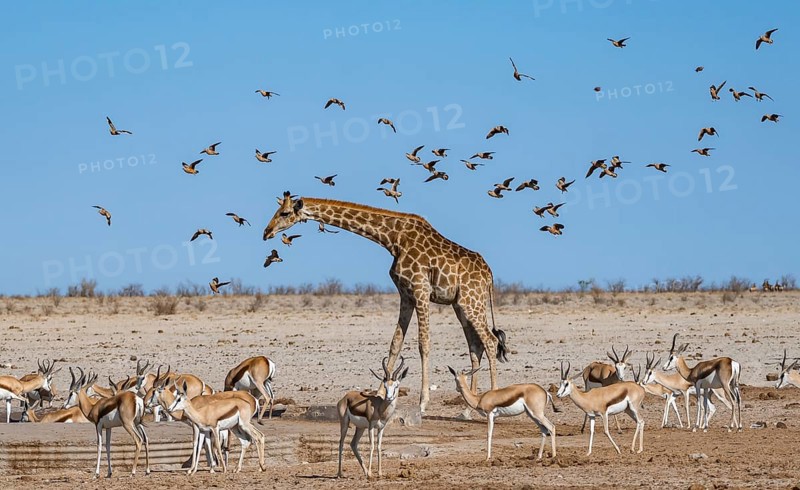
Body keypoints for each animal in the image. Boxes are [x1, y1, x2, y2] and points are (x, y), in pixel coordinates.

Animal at [263, 192, 508, 412]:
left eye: (284, 213)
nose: (266, 232)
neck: (393, 239)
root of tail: (489, 274)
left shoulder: (420, 290)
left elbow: (423, 343)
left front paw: (423, 403)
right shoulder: (405, 294)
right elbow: (395, 343)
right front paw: (381, 392)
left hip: (470, 301)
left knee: (490, 341)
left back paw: (491, 396)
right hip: (461, 305)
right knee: (475, 346)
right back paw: (468, 407)